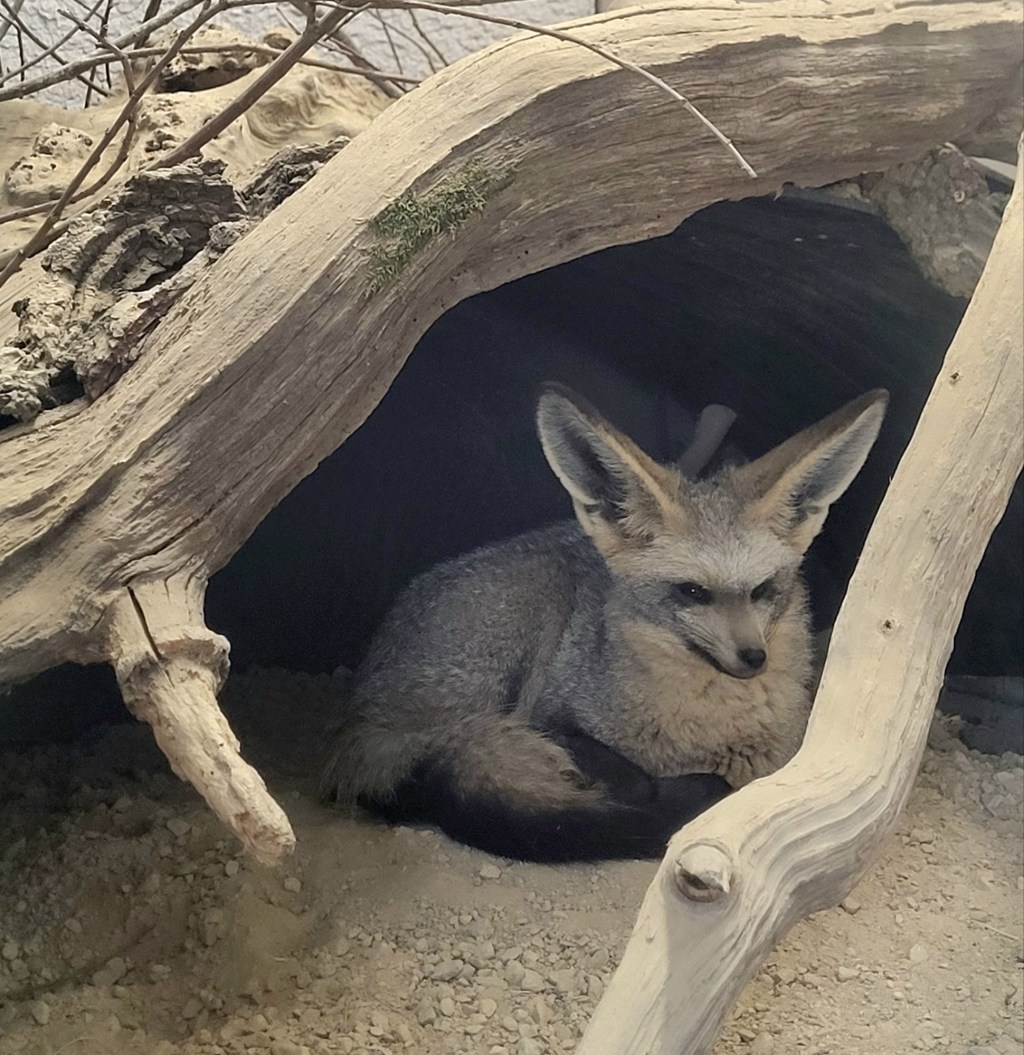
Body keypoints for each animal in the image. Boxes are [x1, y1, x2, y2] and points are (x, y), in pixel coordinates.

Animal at [321, 384, 888, 863]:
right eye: (693, 592)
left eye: (763, 589)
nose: (753, 659)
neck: (703, 731)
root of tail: (361, 710)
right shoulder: (548, 714)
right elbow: (634, 781)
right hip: (515, 637)